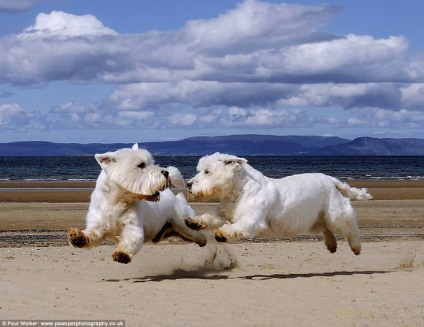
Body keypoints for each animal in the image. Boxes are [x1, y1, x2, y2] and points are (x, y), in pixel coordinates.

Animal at [68, 145, 207, 266]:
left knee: (198, 233)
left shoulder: (133, 226)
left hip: (182, 222)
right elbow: (91, 234)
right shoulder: (98, 225)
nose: (166, 172)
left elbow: (131, 240)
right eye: (141, 165)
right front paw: (77, 237)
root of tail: (174, 197)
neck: (116, 202)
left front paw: (122, 254)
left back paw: (198, 229)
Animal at [186, 154, 372, 256]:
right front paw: (194, 221)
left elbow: (236, 226)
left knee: (350, 227)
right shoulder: (223, 213)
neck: (239, 190)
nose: (188, 184)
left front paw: (222, 233)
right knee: (326, 229)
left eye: (207, 171)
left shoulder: (253, 218)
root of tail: (330, 179)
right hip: (316, 218)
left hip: (335, 214)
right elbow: (210, 217)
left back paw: (356, 247)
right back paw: (332, 245)